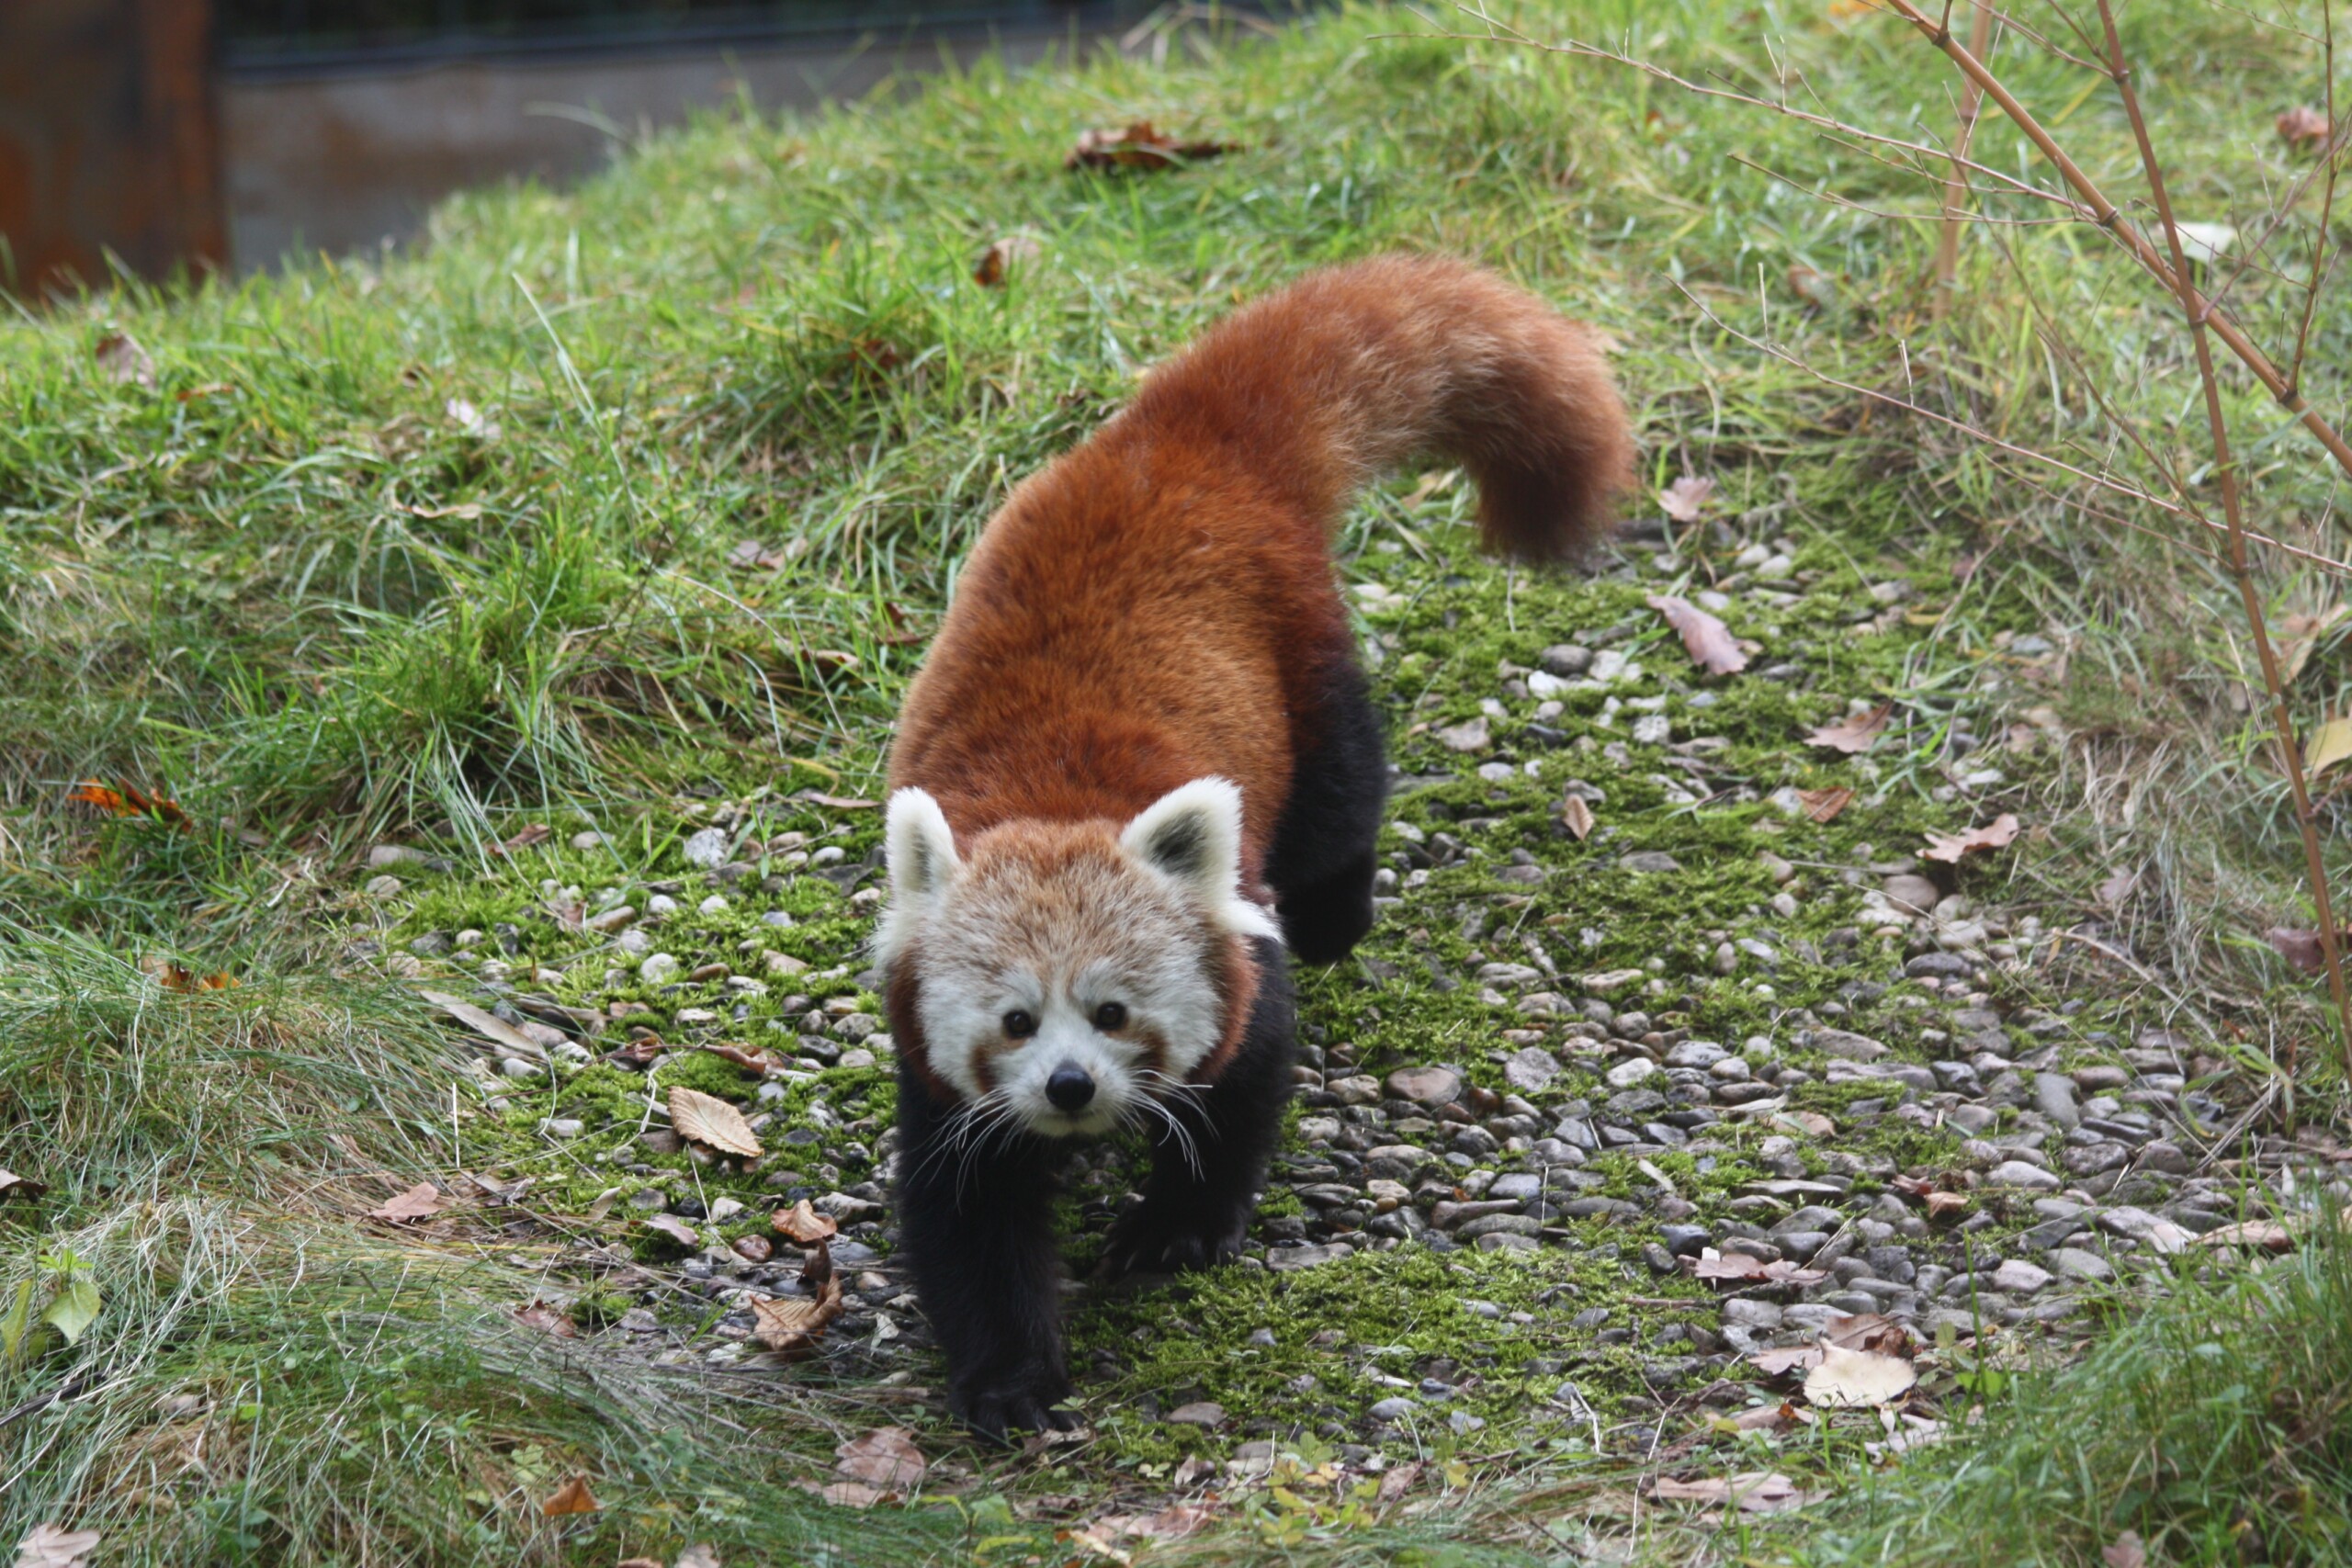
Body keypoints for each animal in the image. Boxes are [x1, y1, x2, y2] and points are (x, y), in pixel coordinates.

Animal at [875, 251, 1627, 1438]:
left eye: (1113, 1013)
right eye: (1014, 1022)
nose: (1071, 1089)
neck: (1051, 803)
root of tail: (1170, 441)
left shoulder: (1237, 959)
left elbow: (1243, 1090)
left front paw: (1172, 1228)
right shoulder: (940, 1084)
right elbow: (968, 1220)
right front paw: (1009, 1379)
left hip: (1302, 657)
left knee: (1338, 807)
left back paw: (1337, 914)